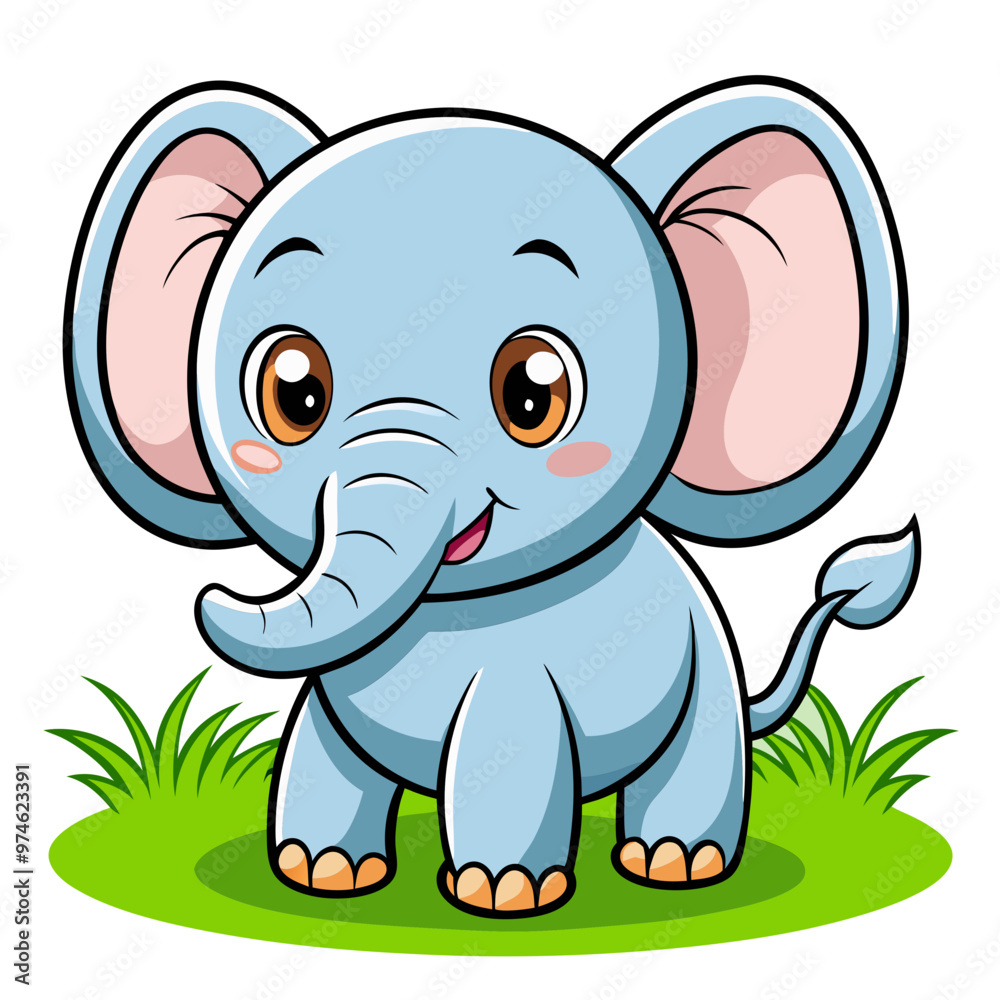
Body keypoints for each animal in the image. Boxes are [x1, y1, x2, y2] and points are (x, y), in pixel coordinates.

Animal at [65, 77, 920, 918]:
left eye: (533, 393)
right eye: (293, 391)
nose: (211, 597)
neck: (449, 612)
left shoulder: (523, 683)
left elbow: (507, 750)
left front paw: (502, 894)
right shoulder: (332, 687)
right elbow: (319, 747)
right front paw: (323, 873)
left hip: (705, 674)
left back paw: (674, 864)